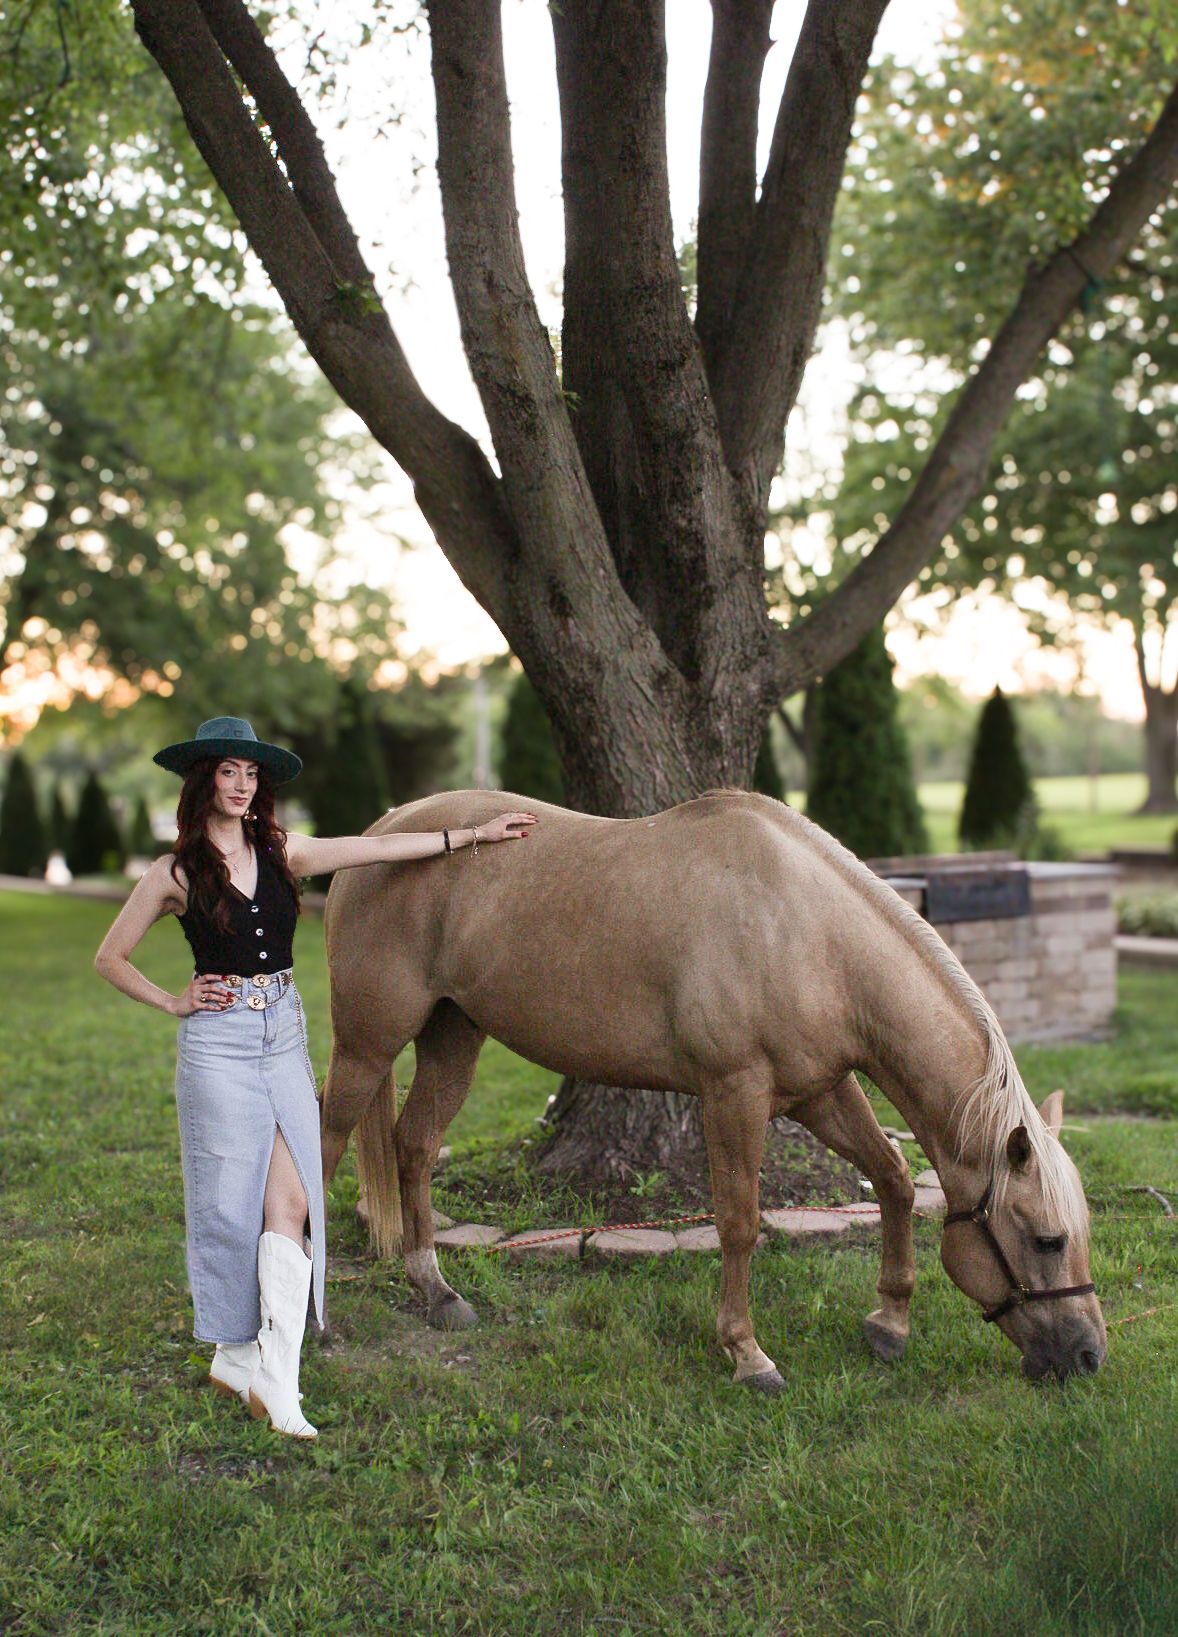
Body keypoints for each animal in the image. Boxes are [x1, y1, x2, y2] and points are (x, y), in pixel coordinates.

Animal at [319, 790, 1106, 1388]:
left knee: (415, 1145)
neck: (813, 934)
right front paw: (747, 1353)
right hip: (367, 1043)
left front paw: (889, 1321)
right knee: (323, 1144)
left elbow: (894, 1179)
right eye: (1046, 1238)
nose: (1089, 1354)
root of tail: (383, 831)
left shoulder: (820, 1092)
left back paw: (435, 1289)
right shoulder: (734, 1094)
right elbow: (739, 1222)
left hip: (454, 1035)